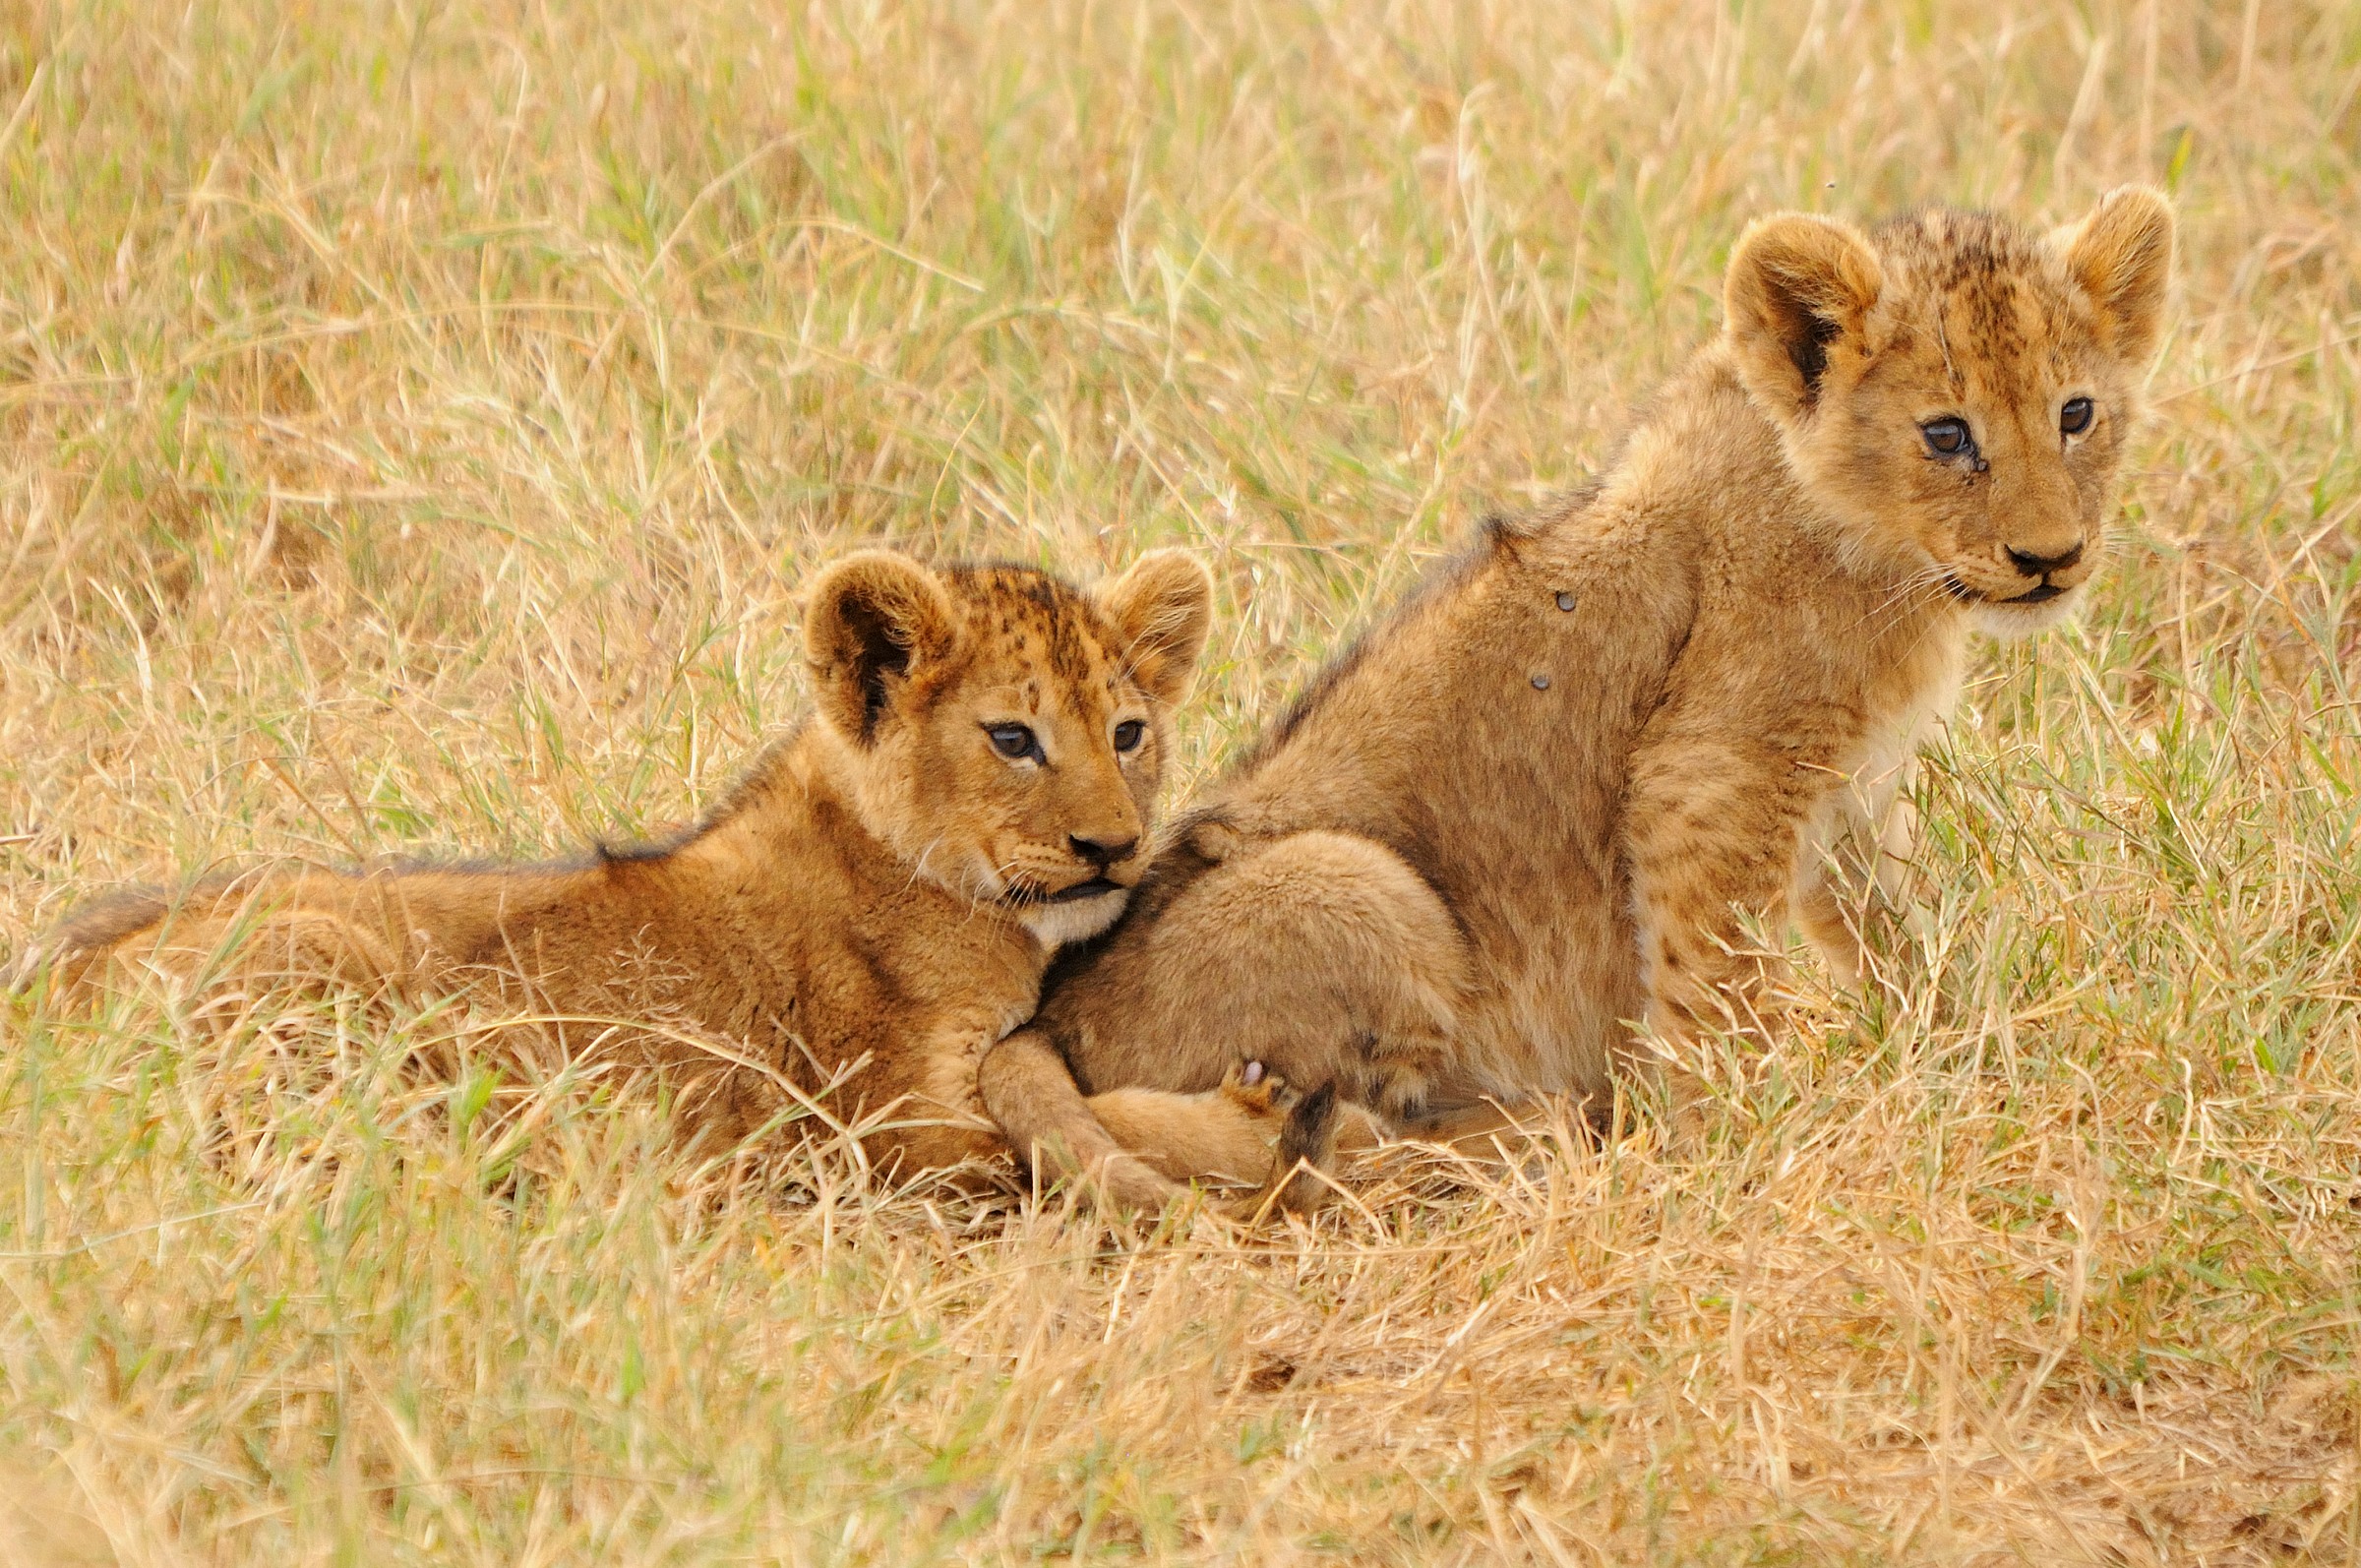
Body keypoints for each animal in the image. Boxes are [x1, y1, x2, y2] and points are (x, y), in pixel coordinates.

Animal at [27, 549, 1310, 1203]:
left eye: (1129, 733)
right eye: (1012, 738)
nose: (1113, 846)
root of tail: (39, 993)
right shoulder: (884, 1129)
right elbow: (1048, 1145)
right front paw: (1242, 1132)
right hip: (317, 954)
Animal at [982, 187, 2176, 1192]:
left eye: (2075, 414)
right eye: (1947, 434)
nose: (2050, 559)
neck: (1885, 566)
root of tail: (1038, 1026)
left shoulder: (1847, 792)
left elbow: (1892, 932)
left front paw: (1966, 1053)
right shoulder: (1711, 775)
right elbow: (1718, 988)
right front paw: (1750, 1143)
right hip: (1356, 883)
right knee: (1299, 1135)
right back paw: (1548, 1127)